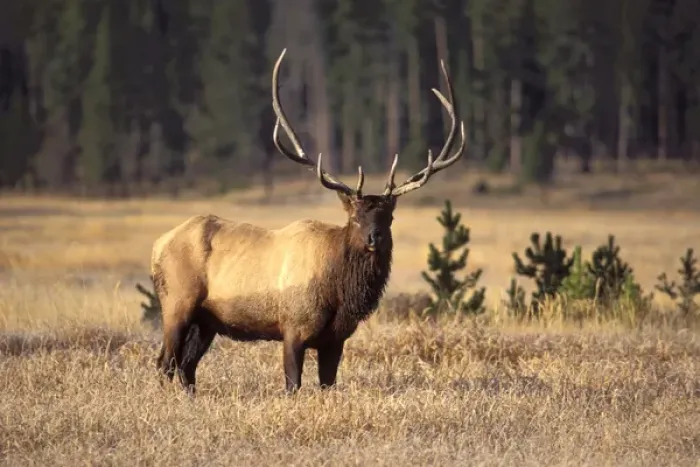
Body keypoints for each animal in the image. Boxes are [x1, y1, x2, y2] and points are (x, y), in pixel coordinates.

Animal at [150, 48, 466, 396]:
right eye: (354, 217)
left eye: (389, 216)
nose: (375, 237)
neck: (339, 294)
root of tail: (157, 245)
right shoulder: (293, 327)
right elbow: (292, 385)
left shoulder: (335, 340)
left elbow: (327, 384)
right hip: (176, 303)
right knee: (165, 362)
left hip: (206, 321)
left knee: (186, 365)